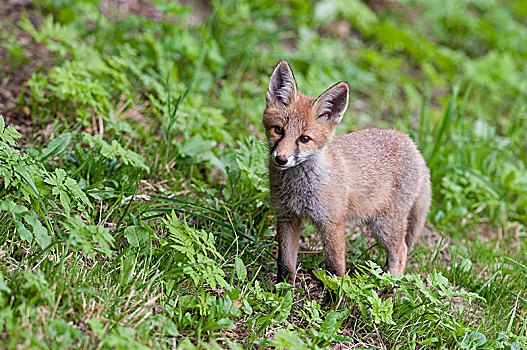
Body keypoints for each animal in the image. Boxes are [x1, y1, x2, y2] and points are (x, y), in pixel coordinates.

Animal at [264, 60, 434, 284]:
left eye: (304, 139)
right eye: (279, 130)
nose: (281, 159)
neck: (298, 189)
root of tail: (414, 147)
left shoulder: (332, 223)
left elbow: (336, 269)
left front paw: (336, 294)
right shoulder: (286, 217)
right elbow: (285, 266)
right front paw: (282, 292)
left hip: (384, 226)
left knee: (401, 251)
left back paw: (389, 285)